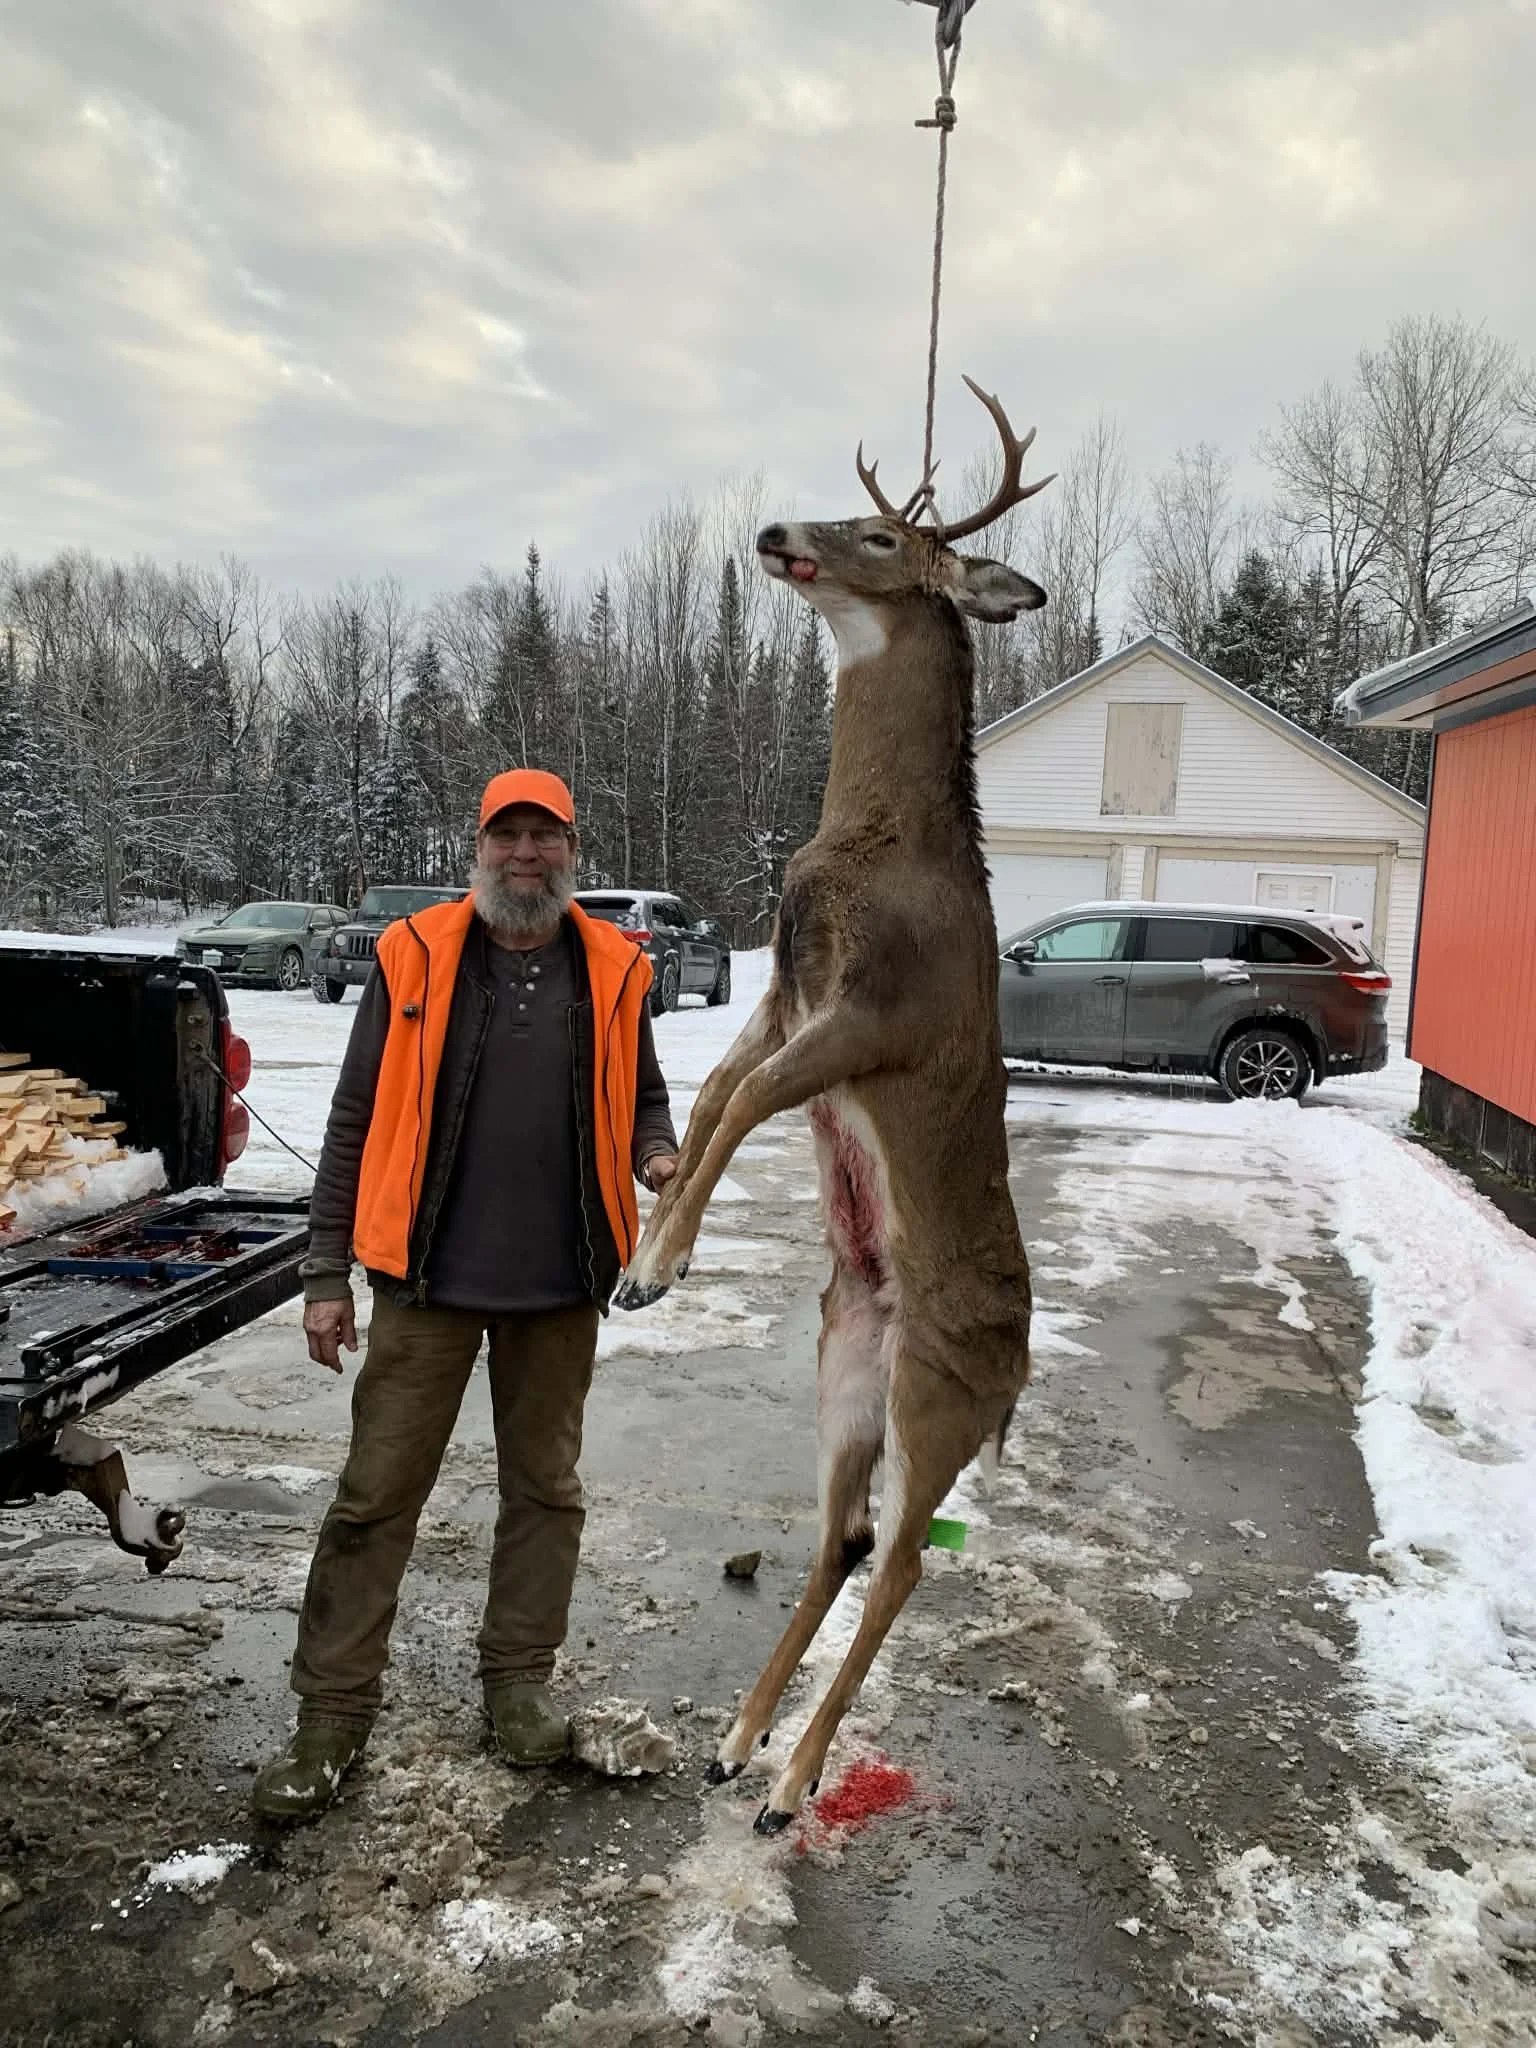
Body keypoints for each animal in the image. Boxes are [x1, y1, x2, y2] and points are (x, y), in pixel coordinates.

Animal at [613, 378, 1052, 1833]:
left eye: (879, 535)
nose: (773, 532)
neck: (874, 840)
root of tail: (1019, 1369)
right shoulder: (785, 987)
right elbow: (710, 1093)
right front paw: (647, 1242)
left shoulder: (876, 1021)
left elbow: (745, 1102)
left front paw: (657, 1269)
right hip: (844, 1371)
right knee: (846, 1535)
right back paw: (738, 1742)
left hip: (936, 1399)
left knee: (906, 1560)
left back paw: (794, 1780)